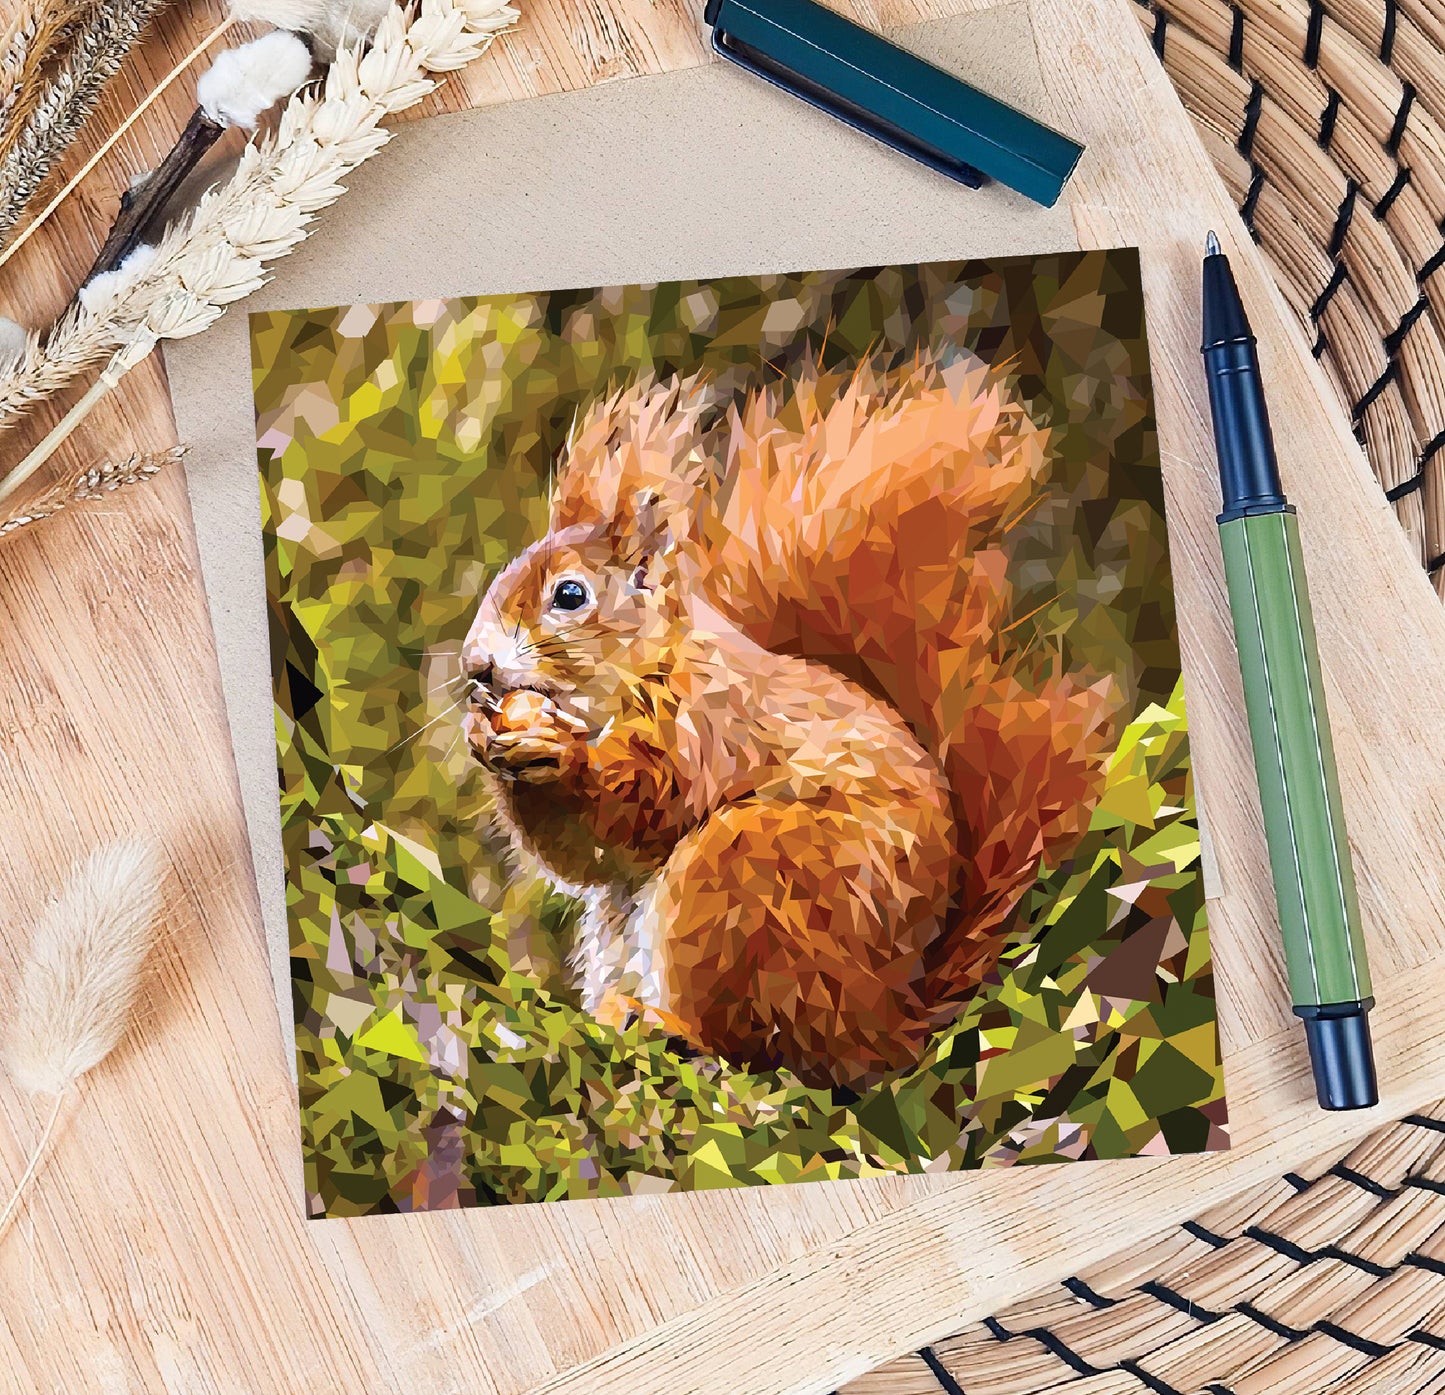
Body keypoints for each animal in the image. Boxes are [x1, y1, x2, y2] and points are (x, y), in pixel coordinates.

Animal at [461, 349, 1114, 1090]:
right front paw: (484, 739)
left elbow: (644, 804)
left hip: (745, 882)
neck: (640, 672)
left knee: (750, 1044)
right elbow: (583, 855)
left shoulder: (709, 725)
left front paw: (561, 755)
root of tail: (882, 1027)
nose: (476, 666)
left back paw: (668, 1025)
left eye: (569, 596)